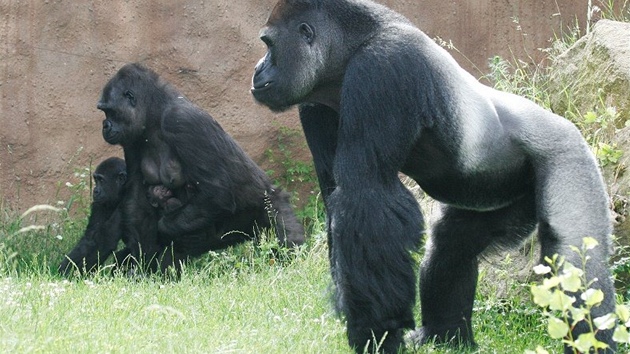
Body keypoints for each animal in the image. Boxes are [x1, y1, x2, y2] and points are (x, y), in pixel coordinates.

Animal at [97, 63, 306, 274]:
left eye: (109, 112)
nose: (104, 126)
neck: (154, 113)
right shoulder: (131, 139)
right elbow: (136, 201)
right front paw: (141, 259)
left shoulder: (182, 120)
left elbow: (217, 193)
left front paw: (162, 226)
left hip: (269, 202)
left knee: (282, 229)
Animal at [251, 0, 616, 354]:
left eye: (269, 45)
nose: (257, 68)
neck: (349, 47)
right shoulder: (314, 102)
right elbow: (339, 200)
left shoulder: (382, 66)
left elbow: (365, 194)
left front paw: (376, 333)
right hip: (506, 191)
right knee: (454, 242)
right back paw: (447, 336)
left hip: (568, 155)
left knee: (576, 263)